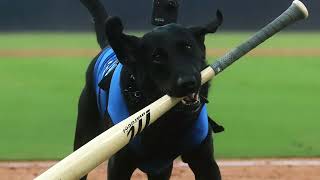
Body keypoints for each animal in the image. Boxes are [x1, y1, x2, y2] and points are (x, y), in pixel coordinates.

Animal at [75, 0, 224, 179]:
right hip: (84, 137)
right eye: (157, 57)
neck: (168, 120)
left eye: (188, 47)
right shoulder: (119, 164)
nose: (188, 82)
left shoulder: (205, 162)